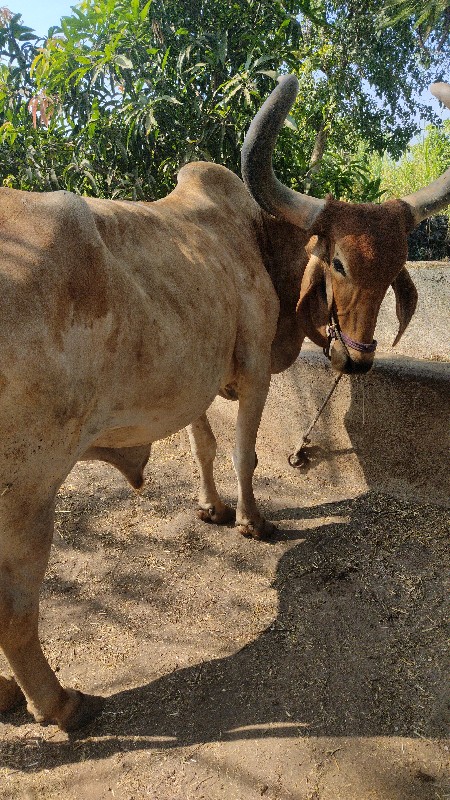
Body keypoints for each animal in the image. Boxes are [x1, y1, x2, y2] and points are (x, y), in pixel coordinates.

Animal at [0, 75, 450, 732]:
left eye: (395, 266)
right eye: (339, 262)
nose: (358, 359)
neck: (260, 240)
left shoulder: (199, 381)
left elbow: (204, 447)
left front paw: (212, 509)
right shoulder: (256, 372)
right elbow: (243, 453)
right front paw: (251, 521)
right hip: (27, 492)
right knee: (14, 608)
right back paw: (60, 704)